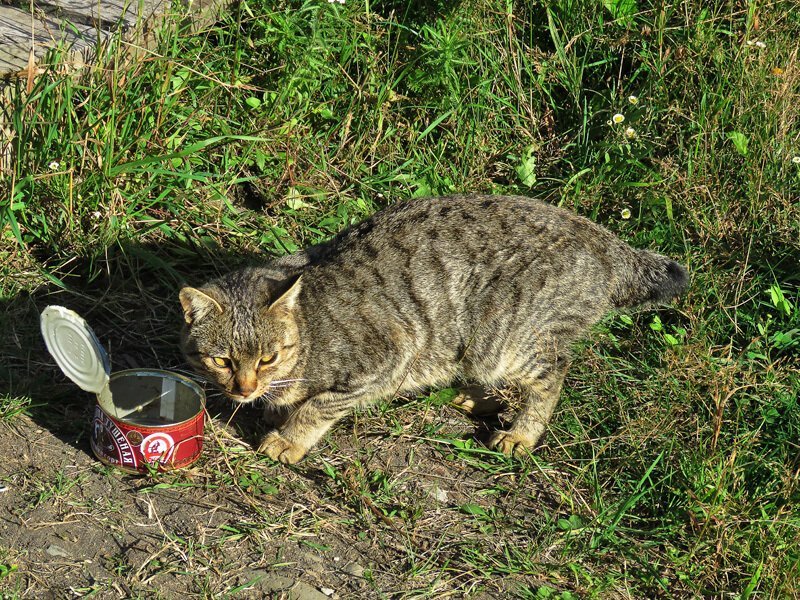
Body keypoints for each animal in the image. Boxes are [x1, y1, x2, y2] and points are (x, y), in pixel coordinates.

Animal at [180, 196, 688, 464]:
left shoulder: (388, 354)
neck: (308, 333)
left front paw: (289, 436)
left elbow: (318, 406)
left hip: (504, 341)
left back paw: (522, 433)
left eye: (268, 357)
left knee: (553, 371)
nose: (245, 388)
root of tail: (603, 238)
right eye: (222, 360)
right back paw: (477, 396)